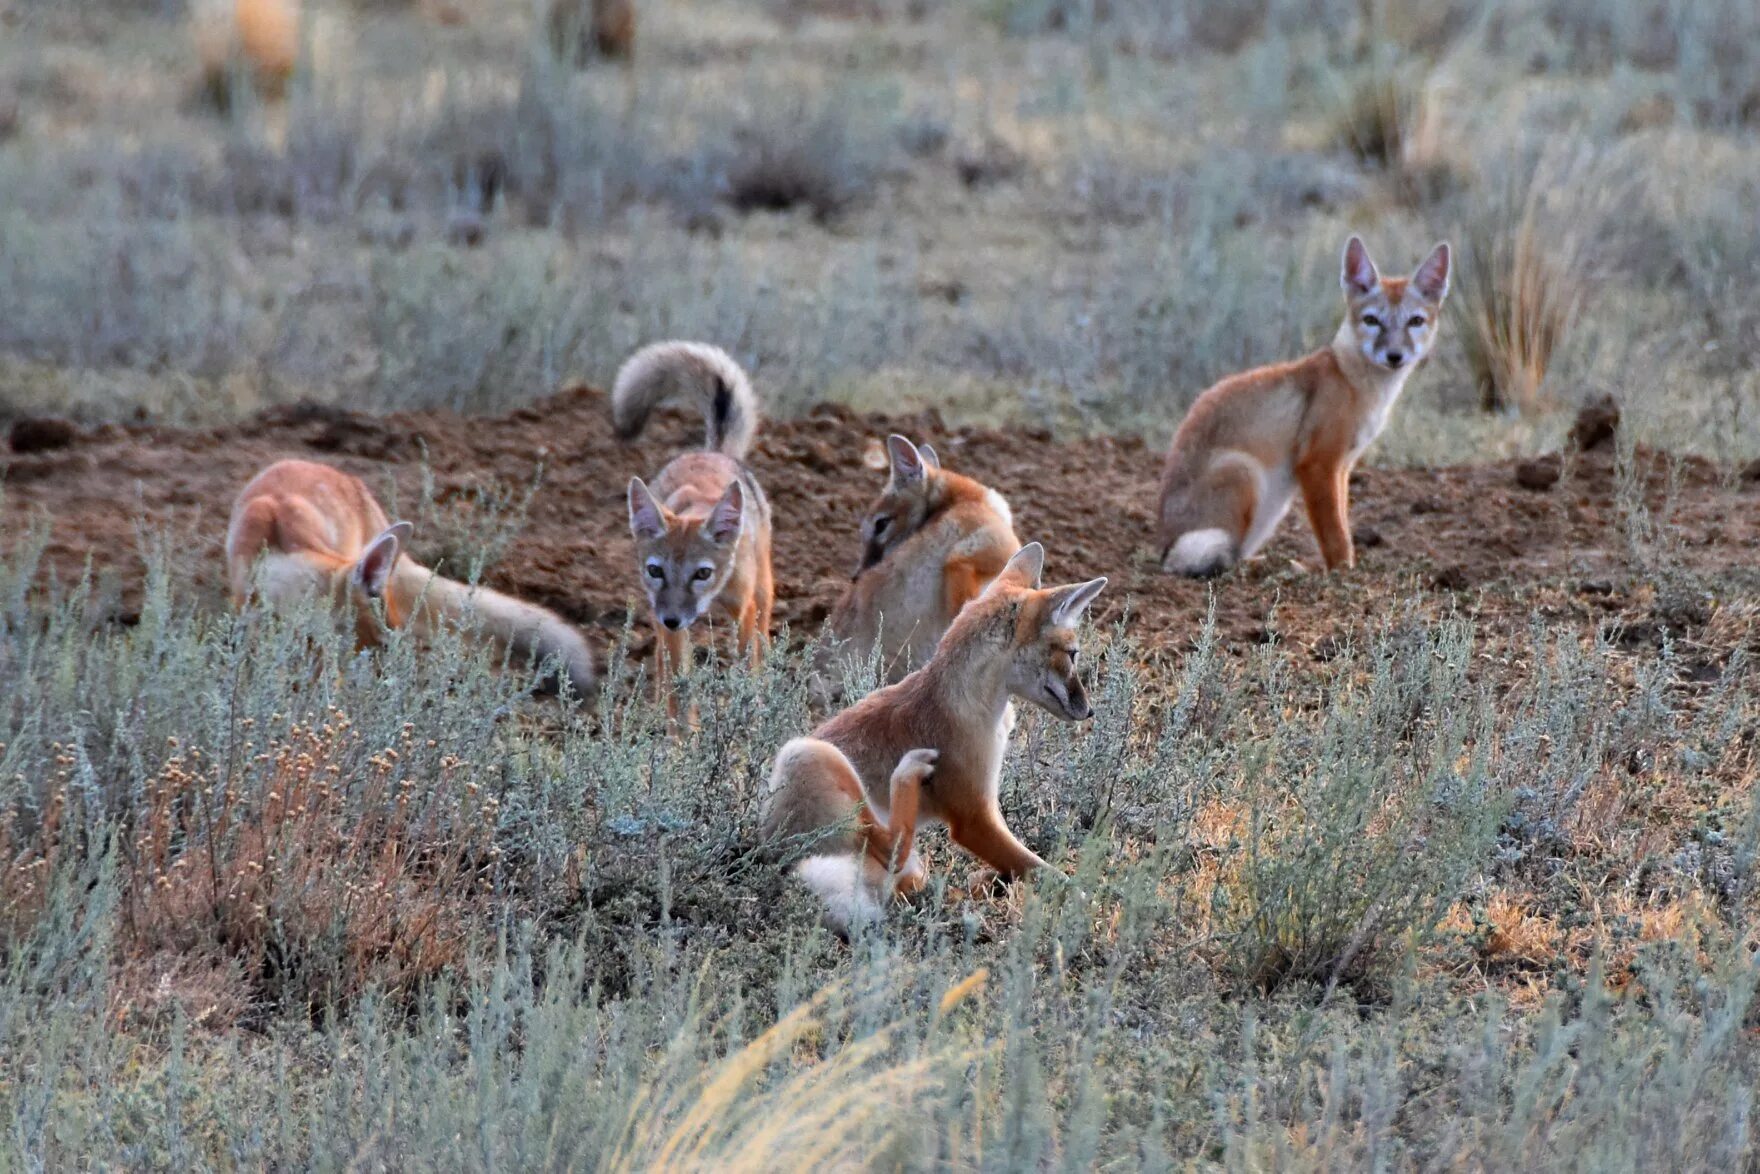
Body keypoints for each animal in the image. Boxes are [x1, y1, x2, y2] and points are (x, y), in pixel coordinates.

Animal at [616, 344, 774, 704]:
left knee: (763, 643)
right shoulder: (671, 625)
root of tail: (711, 451)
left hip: (762, 593)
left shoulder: (742, 609)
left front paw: (750, 710)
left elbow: (747, 668)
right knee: (661, 664)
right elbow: (680, 690)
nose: (673, 618)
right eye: (656, 570)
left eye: (702, 573)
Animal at [763, 545, 1105, 936]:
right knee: (894, 847)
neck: (967, 703)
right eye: (1073, 654)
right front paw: (1089, 904)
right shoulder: (973, 817)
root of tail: (773, 862)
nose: (1090, 712)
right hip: (805, 752)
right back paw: (909, 772)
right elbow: (1050, 874)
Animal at [1147, 235, 1450, 577]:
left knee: (1237, 555)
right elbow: (1335, 535)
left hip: (1272, 507)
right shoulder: (1317, 463)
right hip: (1246, 473)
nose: (1395, 356)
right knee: (1224, 562)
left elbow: (1343, 525)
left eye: (1415, 321)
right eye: (1372, 320)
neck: (1352, 381)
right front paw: (1343, 573)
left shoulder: (1342, 467)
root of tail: (1164, 551)